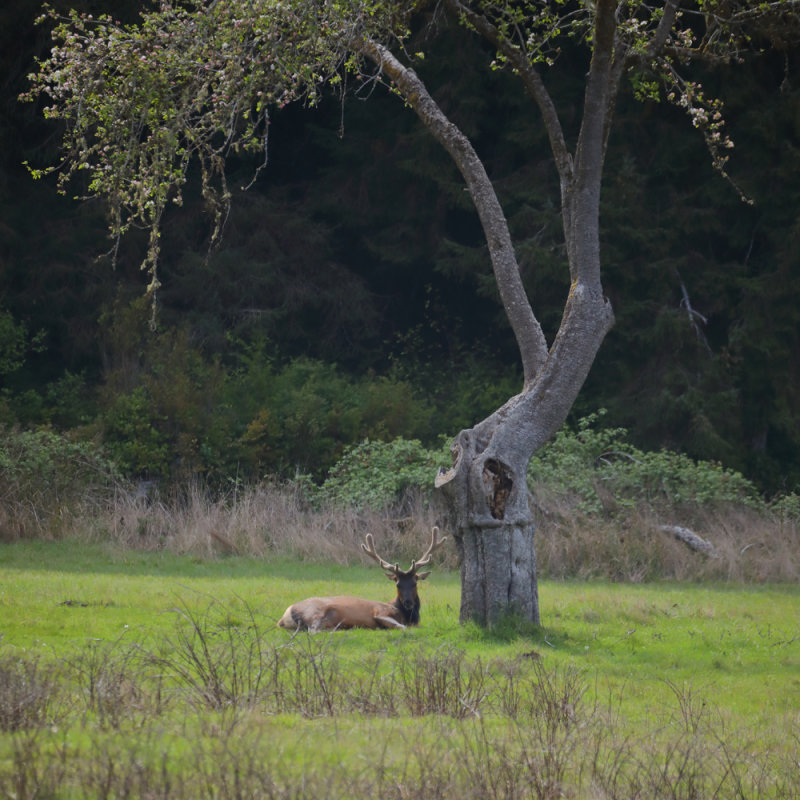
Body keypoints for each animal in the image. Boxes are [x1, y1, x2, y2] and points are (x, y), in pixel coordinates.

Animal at [278, 524, 446, 632]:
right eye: (397, 584)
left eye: (414, 583)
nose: (408, 602)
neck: (406, 615)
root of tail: (283, 618)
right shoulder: (379, 612)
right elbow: (400, 626)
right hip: (314, 611)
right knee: (313, 630)